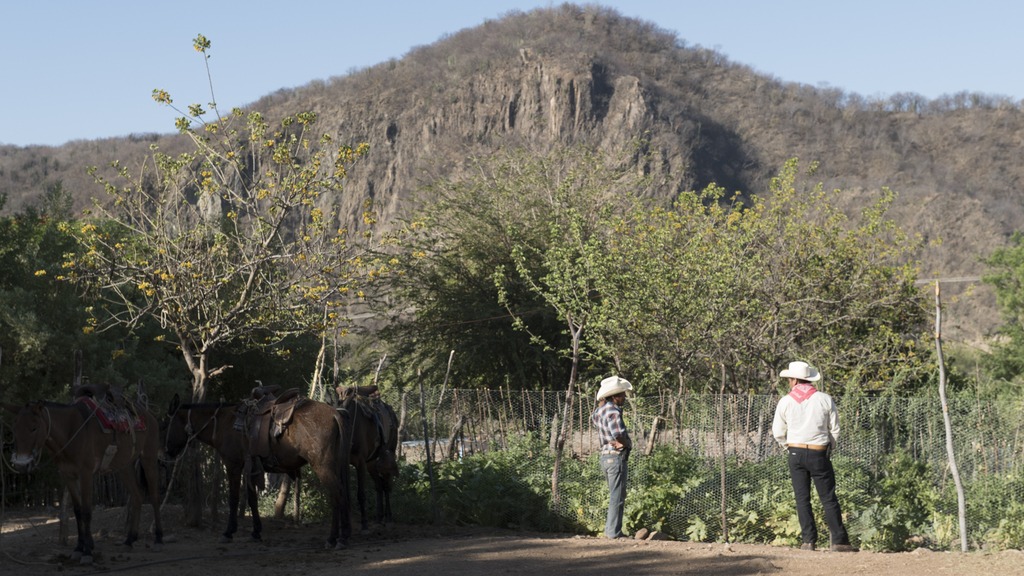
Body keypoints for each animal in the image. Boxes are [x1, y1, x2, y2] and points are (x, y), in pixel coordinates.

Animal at [3, 393, 163, 561]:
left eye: (34, 428)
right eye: (14, 429)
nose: (21, 465)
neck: (70, 432)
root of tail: (150, 416)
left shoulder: (86, 473)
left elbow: (86, 511)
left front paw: (87, 553)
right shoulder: (68, 476)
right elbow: (78, 511)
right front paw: (79, 548)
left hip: (149, 458)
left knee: (154, 496)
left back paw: (158, 539)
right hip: (124, 466)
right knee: (137, 495)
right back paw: (129, 540)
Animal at [160, 389, 352, 545]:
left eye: (166, 424)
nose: (165, 452)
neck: (223, 423)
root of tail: (334, 414)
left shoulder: (233, 465)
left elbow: (234, 498)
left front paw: (228, 532)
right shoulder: (251, 467)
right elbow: (252, 499)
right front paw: (256, 532)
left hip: (322, 466)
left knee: (336, 494)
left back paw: (333, 538)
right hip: (336, 465)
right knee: (343, 494)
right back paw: (344, 536)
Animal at [337, 385, 397, 528]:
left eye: (346, 419)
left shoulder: (360, 463)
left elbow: (361, 494)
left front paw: (364, 523)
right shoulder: (345, 463)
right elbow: (345, 493)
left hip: (389, 454)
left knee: (386, 484)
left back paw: (388, 517)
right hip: (371, 464)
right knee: (379, 485)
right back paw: (379, 517)